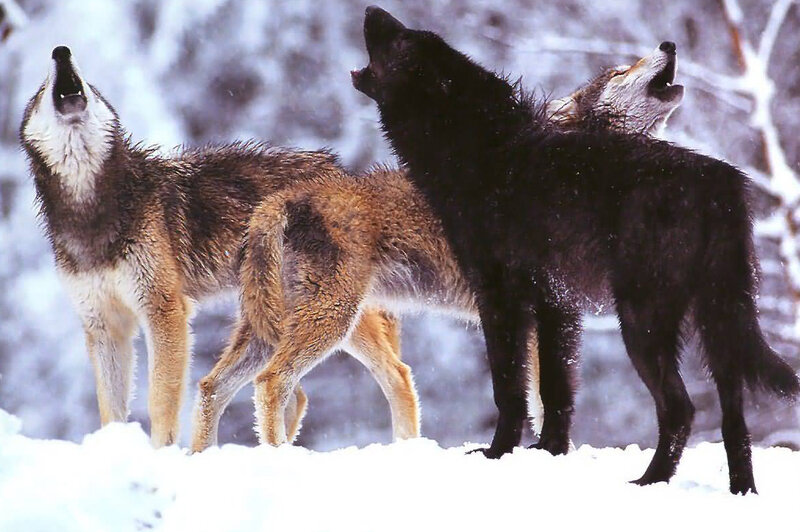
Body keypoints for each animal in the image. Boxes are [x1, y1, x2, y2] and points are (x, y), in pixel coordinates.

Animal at [20, 46, 420, 448]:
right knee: (285, 393)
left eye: (89, 84)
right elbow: (110, 411)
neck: (91, 210)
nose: (61, 51)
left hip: (335, 315)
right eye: (41, 90)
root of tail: (344, 173)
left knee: (397, 374)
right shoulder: (104, 324)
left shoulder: (164, 311)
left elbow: (160, 402)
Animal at [195, 44, 686, 447]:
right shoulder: (546, 313)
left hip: (278, 326)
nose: (669, 44)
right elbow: (544, 399)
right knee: (271, 382)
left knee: (212, 386)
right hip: (331, 320)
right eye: (621, 70)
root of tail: (283, 198)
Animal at [350, 6, 799, 494]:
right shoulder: (556, 305)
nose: (371, 10)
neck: (479, 152)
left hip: (642, 322)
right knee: (735, 418)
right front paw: (548, 452)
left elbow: (509, 388)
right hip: (718, 321)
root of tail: (720, 179)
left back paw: (649, 482)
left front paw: (497, 453)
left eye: (402, 40)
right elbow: (555, 390)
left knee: (680, 408)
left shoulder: (501, 300)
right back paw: (740, 493)